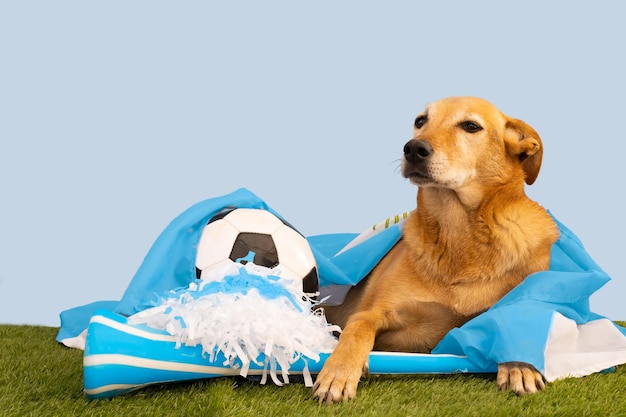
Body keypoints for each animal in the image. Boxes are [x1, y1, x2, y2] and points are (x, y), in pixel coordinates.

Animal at [314, 96, 560, 402]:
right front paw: (339, 370)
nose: (413, 149)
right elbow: (358, 330)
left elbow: (514, 324)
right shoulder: (371, 313)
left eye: (471, 126)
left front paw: (520, 366)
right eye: (421, 121)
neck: (458, 232)